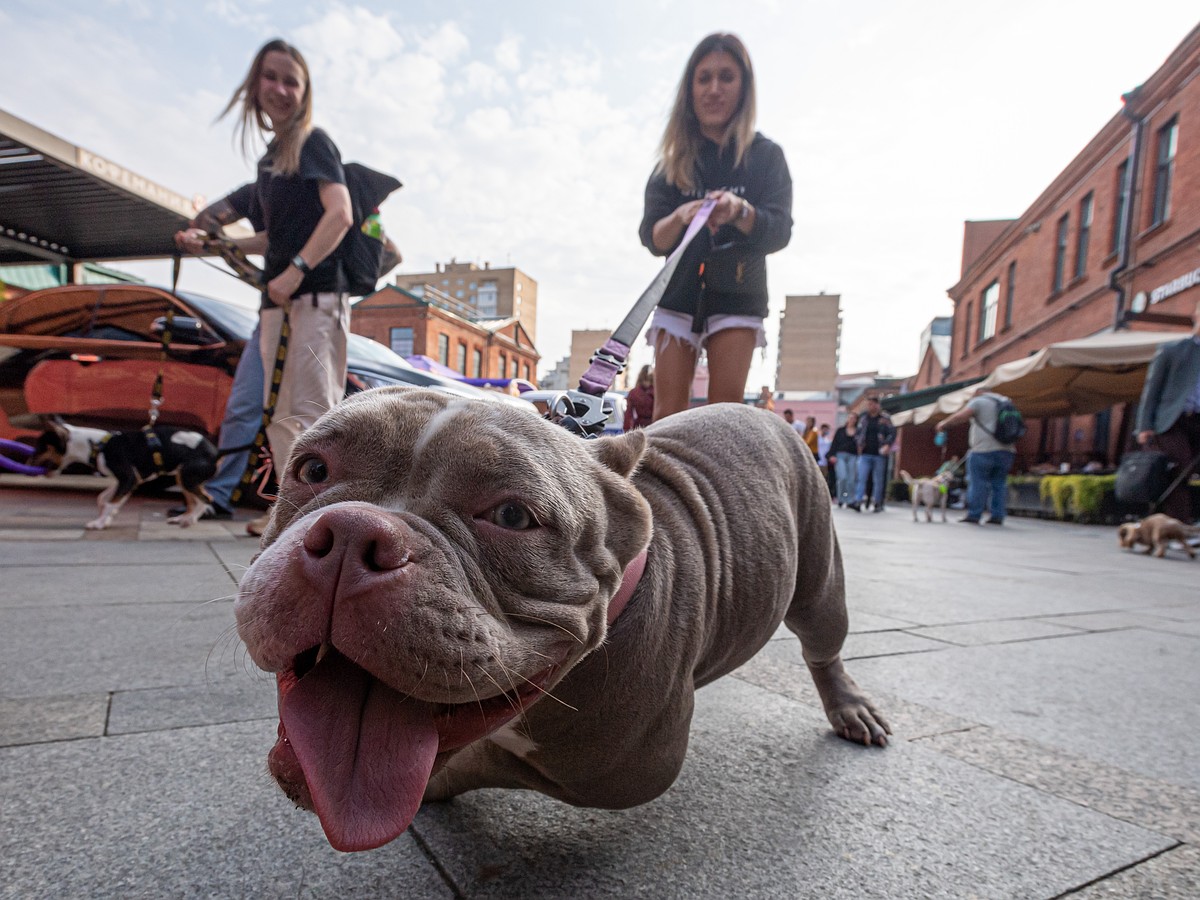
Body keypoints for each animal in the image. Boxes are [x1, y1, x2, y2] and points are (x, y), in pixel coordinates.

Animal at [29, 422, 223, 532]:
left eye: (41, 446)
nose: (28, 460)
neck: (96, 446)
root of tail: (217, 452)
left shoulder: (128, 478)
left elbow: (110, 502)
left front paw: (99, 523)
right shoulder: (124, 481)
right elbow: (104, 498)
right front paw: (107, 517)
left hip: (187, 478)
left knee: (206, 499)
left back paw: (190, 519)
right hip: (184, 478)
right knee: (194, 501)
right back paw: (182, 518)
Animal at [236, 388, 892, 854]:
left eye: (511, 515)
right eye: (311, 470)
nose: (353, 533)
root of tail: (762, 411)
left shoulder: (616, 773)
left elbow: (484, 759)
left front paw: (437, 783)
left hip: (819, 583)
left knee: (824, 644)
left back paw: (849, 707)